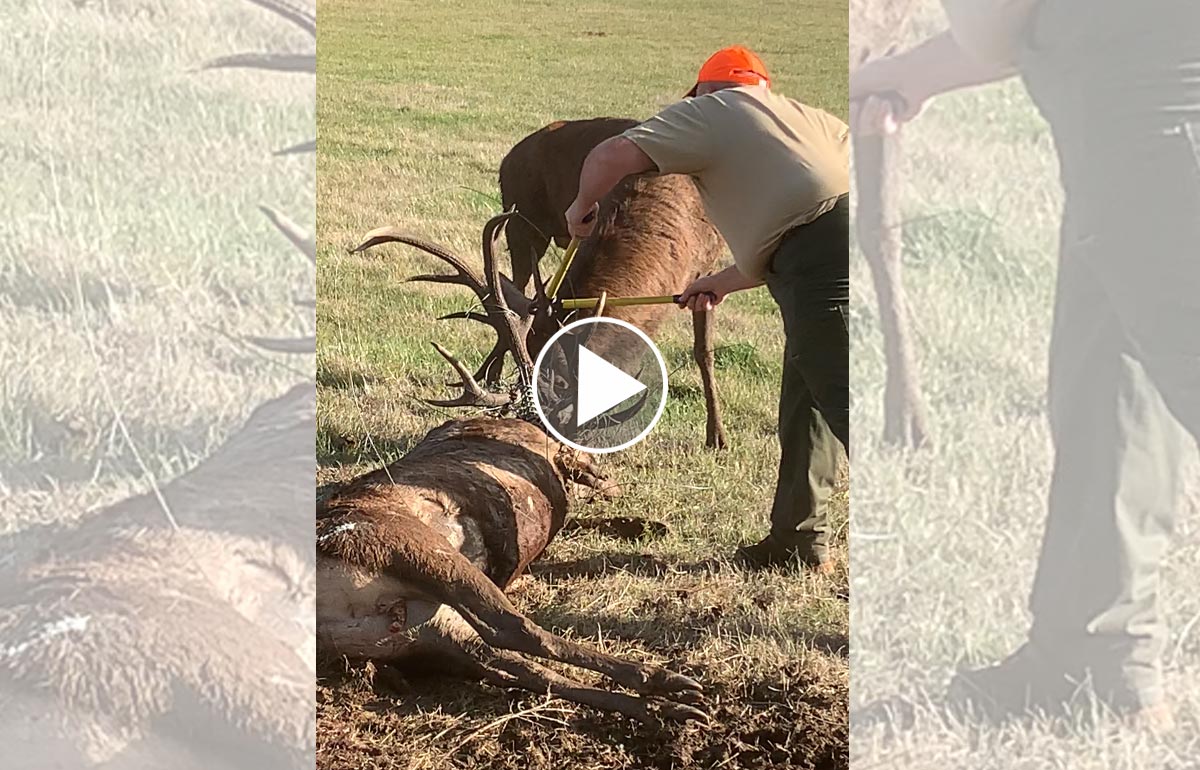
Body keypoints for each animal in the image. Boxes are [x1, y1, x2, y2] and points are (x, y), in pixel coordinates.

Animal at [496, 116, 729, 446]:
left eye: (561, 380)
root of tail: (507, 160)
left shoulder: (707, 272)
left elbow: (704, 351)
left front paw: (717, 435)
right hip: (520, 225)